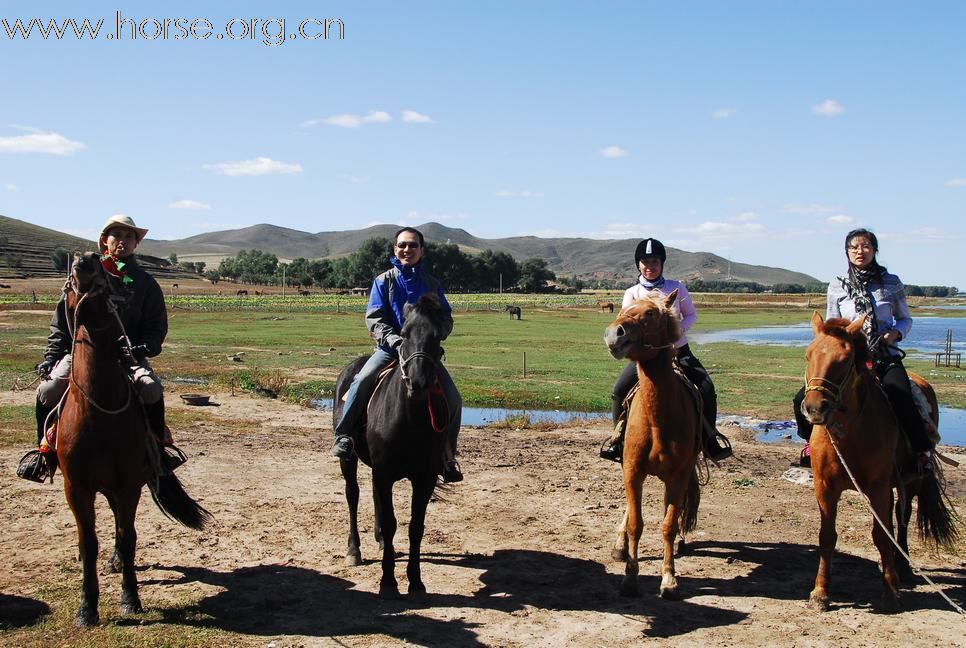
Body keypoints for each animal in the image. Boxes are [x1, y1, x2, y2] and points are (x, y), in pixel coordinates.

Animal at [56, 251, 212, 624]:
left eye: (113, 281)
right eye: (69, 282)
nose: (86, 258)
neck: (97, 414)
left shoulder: (128, 484)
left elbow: (128, 538)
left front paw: (130, 598)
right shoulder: (75, 487)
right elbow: (88, 543)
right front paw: (87, 608)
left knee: (120, 527)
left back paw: (116, 563)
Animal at [332, 294, 458, 596]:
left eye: (437, 335)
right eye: (404, 333)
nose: (418, 381)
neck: (409, 418)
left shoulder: (424, 477)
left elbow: (415, 527)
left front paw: (416, 581)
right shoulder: (384, 472)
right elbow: (391, 524)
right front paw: (388, 582)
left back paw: (378, 542)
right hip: (349, 460)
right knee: (352, 495)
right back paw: (354, 550)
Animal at [604, 292, 704, 600]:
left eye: (650, 313)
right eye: (625, 307)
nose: (614, 334)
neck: (659, 419)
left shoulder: (679, 475)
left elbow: (668, 526)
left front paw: (669, 579)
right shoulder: (633, 470)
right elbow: (636, 523)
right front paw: (630, 578)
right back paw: (619, 546)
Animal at [800, 312, 960, 612]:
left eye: (845, 360)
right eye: (808, 355)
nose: (815, 407)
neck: (848, 432)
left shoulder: (877, 487)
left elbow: (881, 535)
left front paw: (891, 590)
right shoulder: (824, 486)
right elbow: (827, 536)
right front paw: (821, 593)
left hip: (912, 480)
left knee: (902, 515)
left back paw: (903, 569)